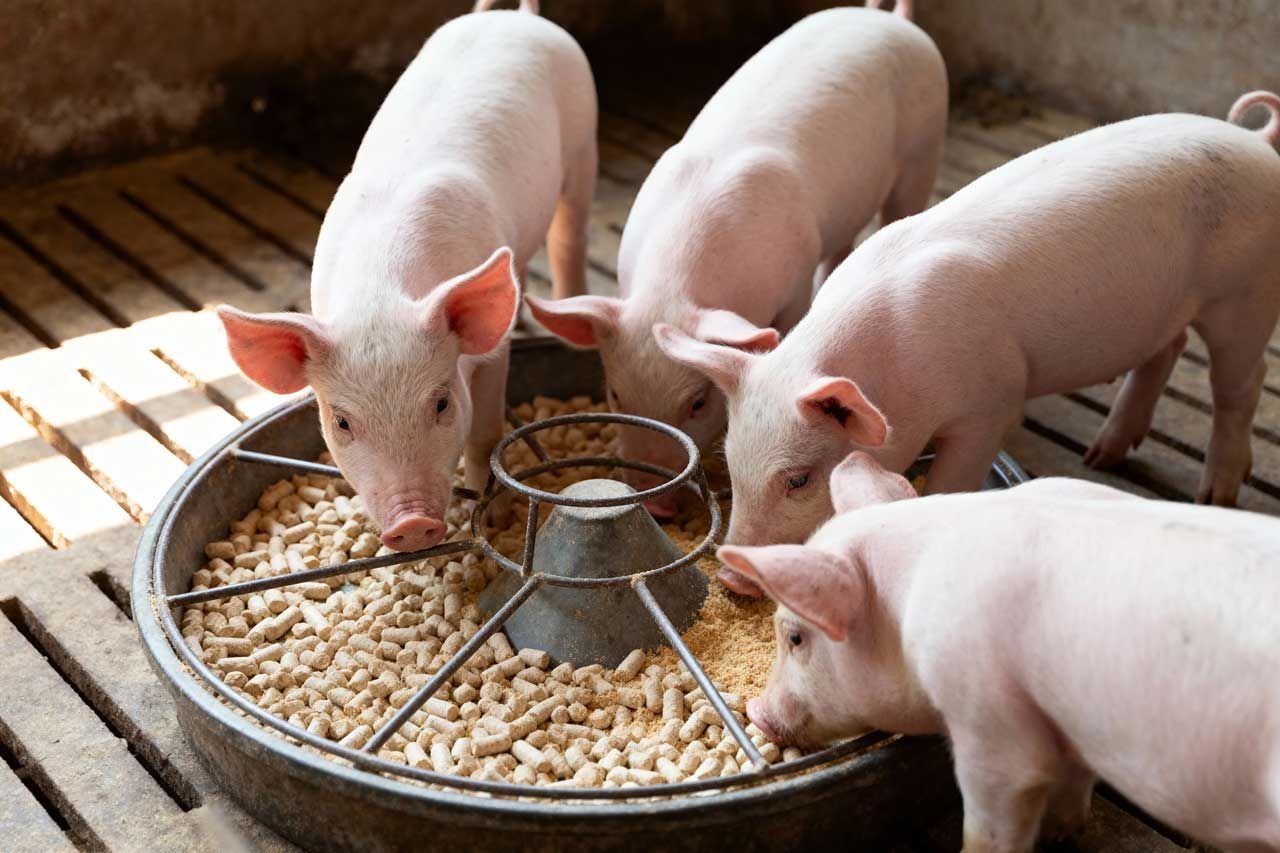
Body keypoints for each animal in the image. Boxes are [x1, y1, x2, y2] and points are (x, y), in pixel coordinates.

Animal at [216, 0, 597, 551]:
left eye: (441, 403)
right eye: (342, 421)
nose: (412, 525)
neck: (379, 292)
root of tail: (513, 17)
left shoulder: (492, 356)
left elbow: (485, 434)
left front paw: (494, 519)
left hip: (584, 138)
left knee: (570, 232)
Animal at [526, 2, 947, 517]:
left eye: (698, 402)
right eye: (615, 393)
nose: (659, 508)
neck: (674, 283)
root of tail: (894, 21)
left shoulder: (794, 278)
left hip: (923, 150)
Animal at [659, 90, 1280, 564]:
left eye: (798, 480)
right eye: (731, 463)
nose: (733, 573)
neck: (894, 362)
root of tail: (1255, 141)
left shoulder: (993, 402)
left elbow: (953, 479)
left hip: (1244, 296)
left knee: (1242, 383)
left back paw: (1215, 494)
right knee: (1167, 348)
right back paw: (1100, 457)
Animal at [723, 455, 1280, 852]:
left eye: (795, 637)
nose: (755, 711)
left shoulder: (987, 716)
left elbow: (992, 819)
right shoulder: (1060, 713)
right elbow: (1075, 776)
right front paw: (1062, 832)